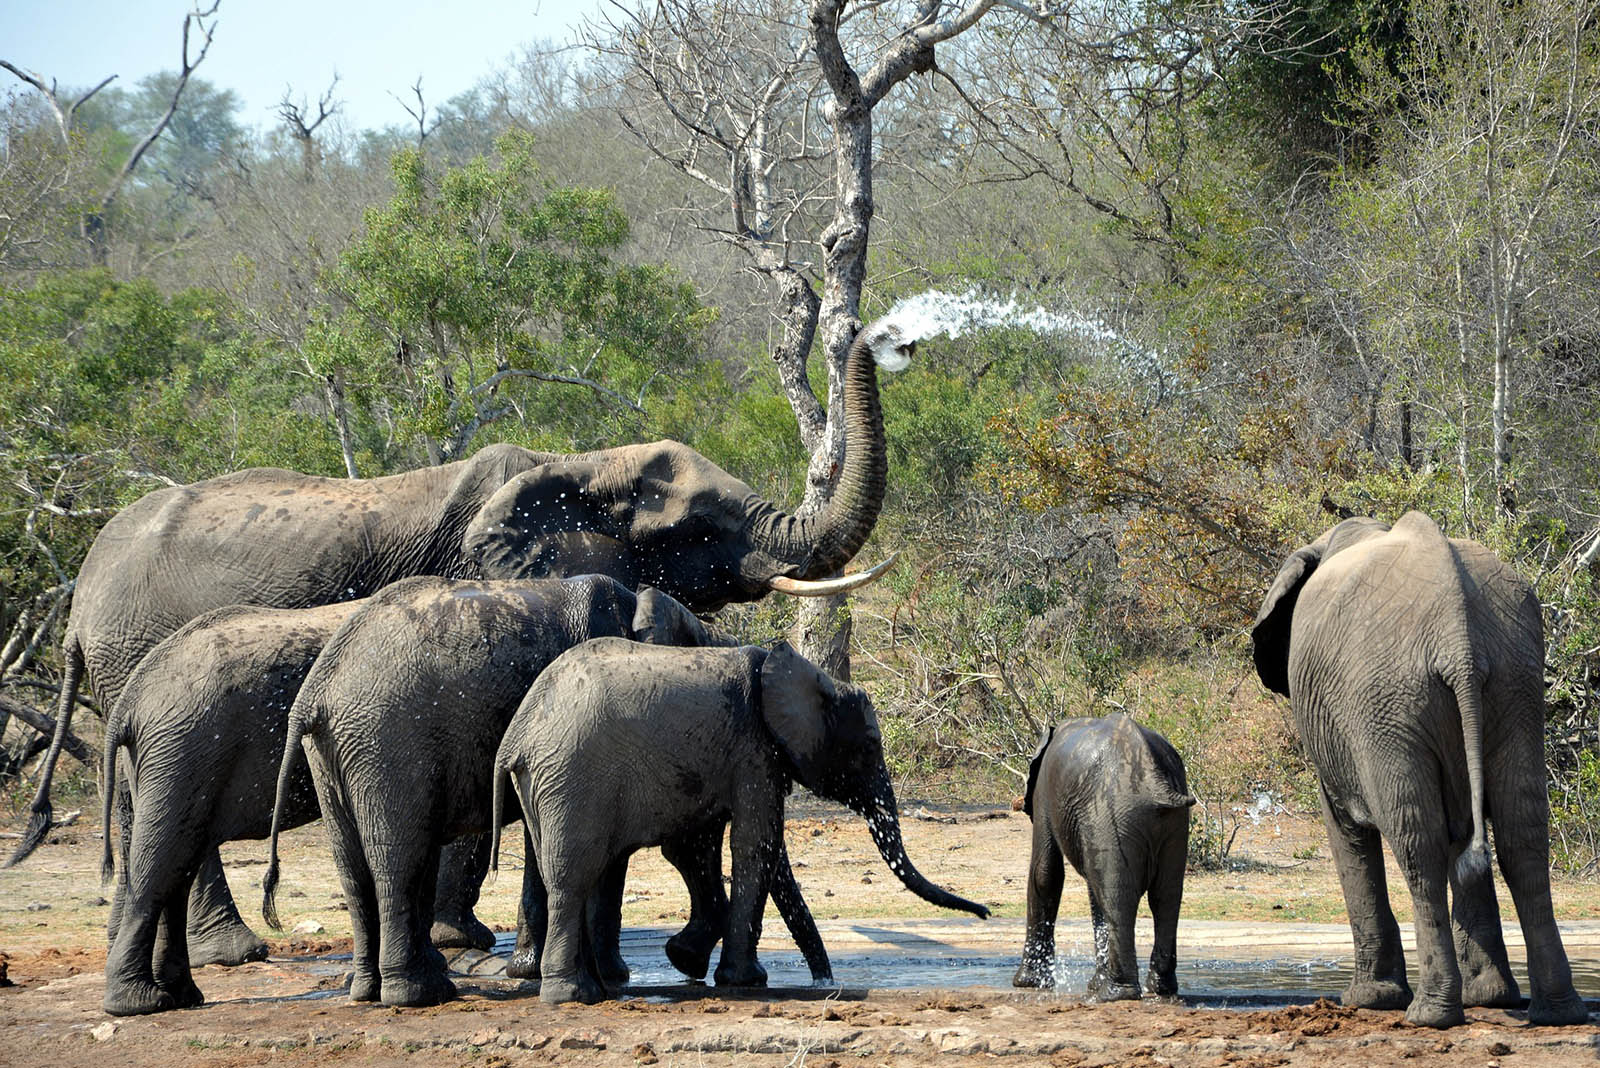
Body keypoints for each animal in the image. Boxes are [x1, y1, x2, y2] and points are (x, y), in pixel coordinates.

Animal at [12, 314, 921, 965]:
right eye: (703, 527)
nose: (893, 337)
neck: (579, 465)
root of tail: (79, 597)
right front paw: (465, 946)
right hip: (137, 656)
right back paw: (233, 954)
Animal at [96, 601, 366, 1016]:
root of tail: (128, 701)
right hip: (182, 751)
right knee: (161, 864)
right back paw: (140, 1003)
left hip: (171, 756)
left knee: (178, 866)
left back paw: (180, 997)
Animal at [489, 639, 985, 1004]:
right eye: (868, 746)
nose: (984, 912)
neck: (794, 671)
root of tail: (516, 738)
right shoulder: (754, 749)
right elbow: (758, 842)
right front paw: (745, 981)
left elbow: (698, 848)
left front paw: (688, 960)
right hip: (571, 777)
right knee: (573, 878)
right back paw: (570, 996)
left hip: (545, 784)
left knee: (576, 871)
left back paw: (592, 991)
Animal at [1011, 716, 1190, 1004]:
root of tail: (1155, 782)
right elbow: (1094, 892)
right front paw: (1093, 984)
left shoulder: (1044, 793)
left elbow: (1045, 873)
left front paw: (1028, 984)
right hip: (1169, 822)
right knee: (1164, 896)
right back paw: (1159, 990)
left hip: (1113, 814)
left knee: (1118, 898)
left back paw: (1114, 994)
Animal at [1260, 511, 1587, 1029]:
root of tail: (1458, 640)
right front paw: (1490, 996)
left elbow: (1347, 831)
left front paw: (1368, 1001)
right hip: (1514, 683)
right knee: (1523, 837)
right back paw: (1553, 1011)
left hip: (1386, 701)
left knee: (1419, 845)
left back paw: (1428, 1015)